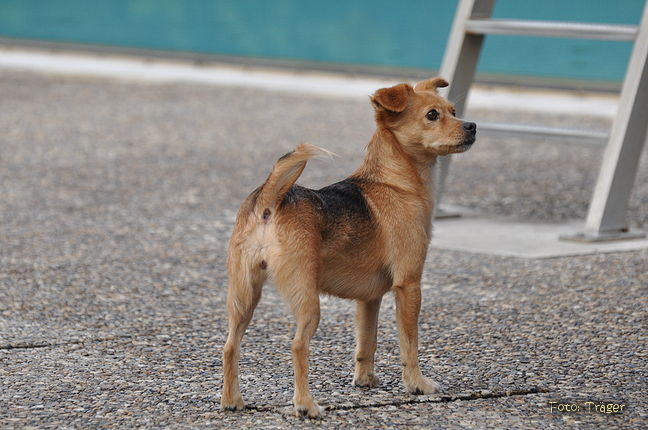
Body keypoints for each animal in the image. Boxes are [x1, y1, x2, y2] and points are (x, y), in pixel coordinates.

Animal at [221, 76, 476, 416]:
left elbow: (367, 342)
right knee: (298, 346)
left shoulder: (369, 300)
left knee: (230, 346)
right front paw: (417, 384)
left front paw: (365, 380)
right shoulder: (409, 285)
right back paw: (306, 405)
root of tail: (270, 201)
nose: (472, 125)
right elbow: (409, 343)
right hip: (306, 300)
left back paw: (231, 401)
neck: (394, 182)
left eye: (454, 111)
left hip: (243, 297)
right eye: (432, 115)